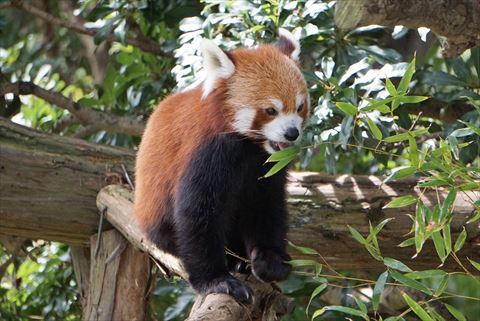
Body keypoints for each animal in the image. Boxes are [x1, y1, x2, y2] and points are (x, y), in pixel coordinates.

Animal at [133, 28, 310, 302]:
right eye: (271, 110)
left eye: (300, 107)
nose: (292, 133)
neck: (250, 147)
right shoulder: (207, 151)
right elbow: (197, 211)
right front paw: (216, 280)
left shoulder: (266, 166)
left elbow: (266, 205)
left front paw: (270, 260)